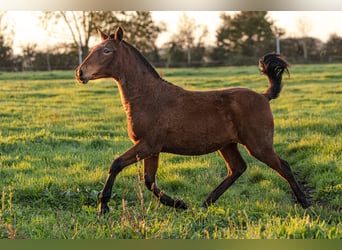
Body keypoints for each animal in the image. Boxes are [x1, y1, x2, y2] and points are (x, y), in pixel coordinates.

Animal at [75, 27, 310, 215]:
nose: (80, 72)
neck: (148, 97)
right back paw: (206, 202)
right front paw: (180, 204)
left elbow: (116, 164)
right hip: (227, 145)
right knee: (238, 168)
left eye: (107, 50)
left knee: (283, 167)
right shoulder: (152, 149)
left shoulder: (148, 145)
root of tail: (263, 96)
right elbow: (149, 181)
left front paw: (104, 206)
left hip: (258, 145)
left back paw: (305, 203)